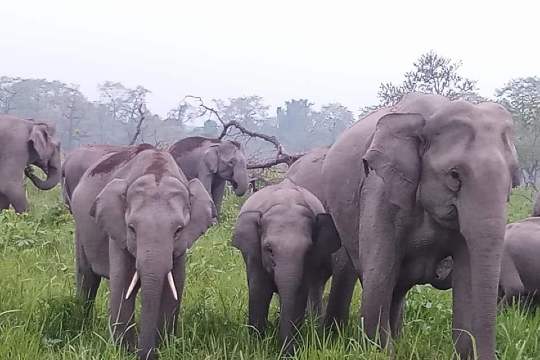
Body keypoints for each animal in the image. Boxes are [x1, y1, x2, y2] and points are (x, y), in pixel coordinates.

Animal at [70, 144, 216, 360]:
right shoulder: (117, 231)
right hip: (80, 229)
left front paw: (165, 348)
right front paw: (124, 352)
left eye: (178, 230)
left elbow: (175, 284)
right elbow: (122, 281)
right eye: (132, 228)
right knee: (87, 277)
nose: (147, 354)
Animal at [233, 179, 342, 352]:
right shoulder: (254, 254)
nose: (285, 352)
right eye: (269, 249)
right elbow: (259, 290)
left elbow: (299, 293)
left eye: (308, 250)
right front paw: (257, 344)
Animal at [318, 93, 520, 360]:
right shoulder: (380, 190)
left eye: (514, 176)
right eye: (454, 175)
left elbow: (466, 275)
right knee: (350, 267)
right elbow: (379, 274)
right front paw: (382, 353)